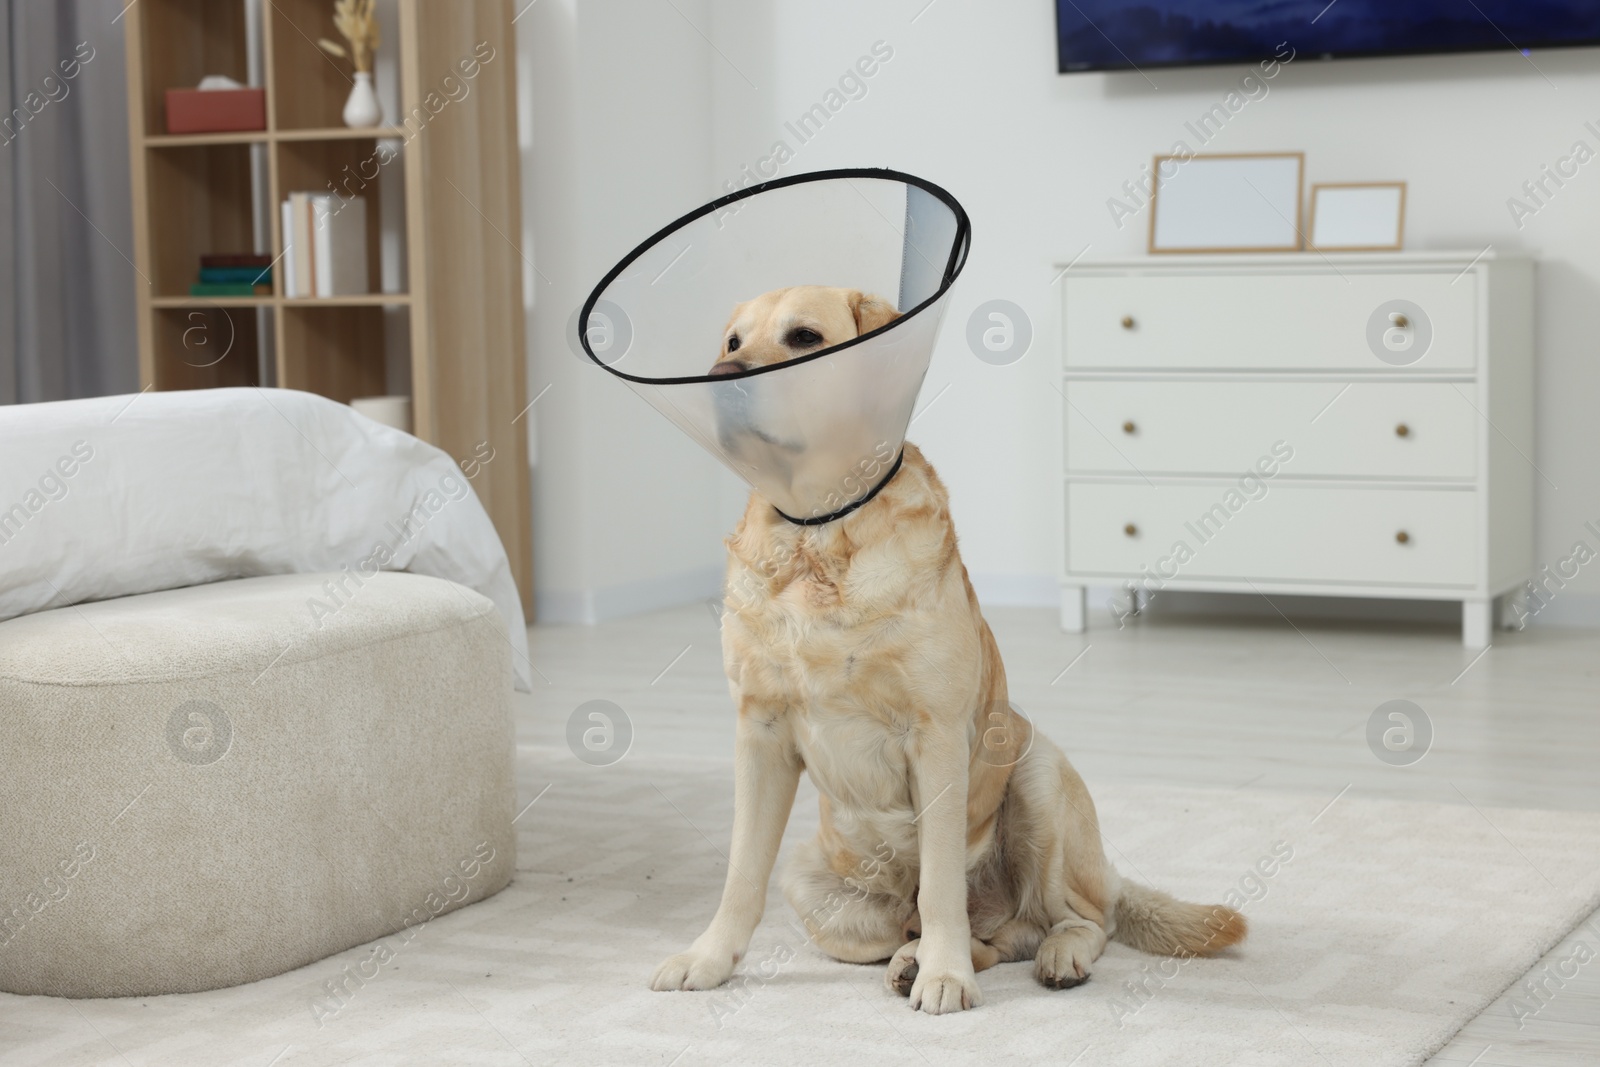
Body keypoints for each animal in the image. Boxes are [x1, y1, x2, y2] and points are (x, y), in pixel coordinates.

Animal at [643, 287, 1241, 1017]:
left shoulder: (936, 736)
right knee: (966, 930)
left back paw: (1047, 956)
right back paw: (910, 961)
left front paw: (946, 974)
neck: (822, 532)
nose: (722, 379)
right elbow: (740, 873)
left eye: (804, 337)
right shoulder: (759, 732)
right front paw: (707, 959)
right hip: (812, 882)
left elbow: (941, 885)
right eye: (732, 342)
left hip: (1037, 772)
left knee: (1073, 918)